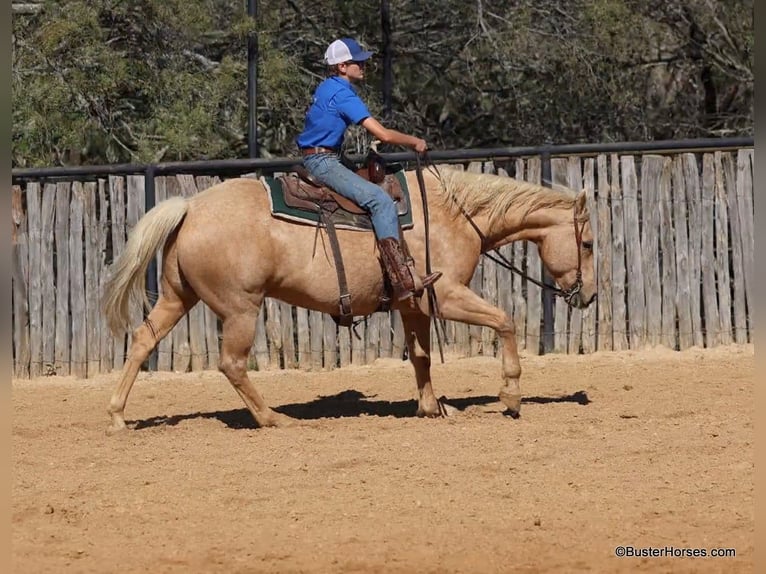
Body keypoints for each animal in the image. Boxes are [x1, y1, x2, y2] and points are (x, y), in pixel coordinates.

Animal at [102, 166, 597, 434]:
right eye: (589, 243)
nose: (589, 296)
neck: (454, 215)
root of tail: (190, 208)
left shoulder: (412, 304)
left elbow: (421, 357)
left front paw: (433, 408)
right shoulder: (446, 295)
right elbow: (505, 321)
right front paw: (511, 396)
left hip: (176, 297)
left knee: (142, 341)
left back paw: (117, 416)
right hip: (241, 308)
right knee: (232, 363)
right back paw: (273, 418)